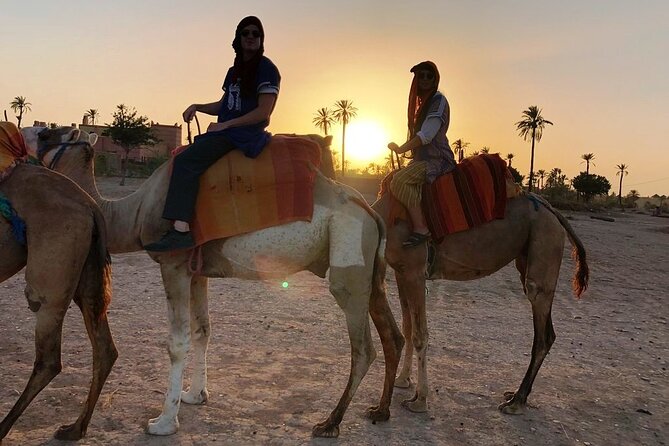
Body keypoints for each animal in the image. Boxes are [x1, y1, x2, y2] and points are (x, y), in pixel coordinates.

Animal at [0, 159, 117, 440]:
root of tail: (92, 207)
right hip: (86, 277)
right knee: (105, 348)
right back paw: (75, 428)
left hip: (50, 282)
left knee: (49, 359)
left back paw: (2, 428)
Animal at [24, 126, 402, 440]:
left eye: (46, 134)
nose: (24, 143)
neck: (134, 212)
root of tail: (370, 210)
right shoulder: (198, 271)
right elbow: (203, 330)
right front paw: (195, 395)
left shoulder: (174, 264)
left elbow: (177, 342)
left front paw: (163, 422)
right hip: (371, 270)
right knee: (391, 334)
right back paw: (380, 410)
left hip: (349, 257)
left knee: (363, 347)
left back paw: (330, 422)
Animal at [370, 179, 588, 414]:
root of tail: (554, 212)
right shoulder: (401, 272)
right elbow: (408, 328)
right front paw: (403, 379)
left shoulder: (415, 270)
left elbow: (420, 335)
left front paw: (419, 400)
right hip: (527, 253)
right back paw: (516, 396)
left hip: (545, 241)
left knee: (542, 328)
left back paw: (515, 402)